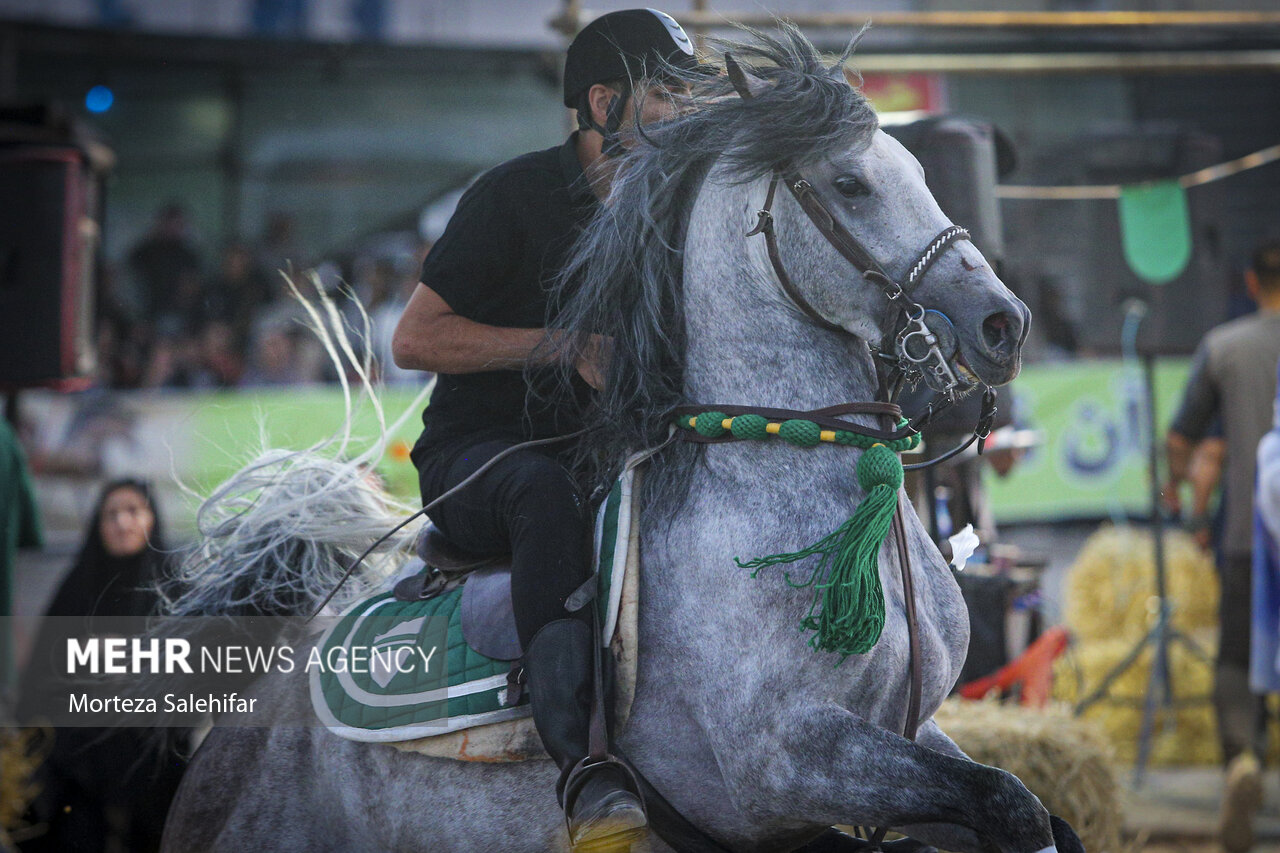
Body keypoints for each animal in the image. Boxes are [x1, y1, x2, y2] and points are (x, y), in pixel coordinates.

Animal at [162, 24, 1080, 850]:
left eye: (920, 174)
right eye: (851, 184)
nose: (1004, 323)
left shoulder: (913, 733)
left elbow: (1022, 807)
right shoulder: (785, 761)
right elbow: (1008, 802)